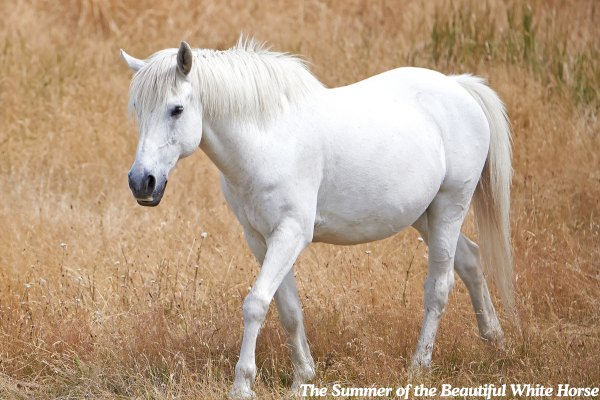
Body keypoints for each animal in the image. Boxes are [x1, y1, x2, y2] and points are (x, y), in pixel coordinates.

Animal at [122, 36, 516, 396]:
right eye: (137, 108)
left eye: (176, 109)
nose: (142, 182)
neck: (267, 140)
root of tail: (459, 87)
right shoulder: (260, 238)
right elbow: (288, 309)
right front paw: (303, 377)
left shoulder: (291, 234)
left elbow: (256, 304)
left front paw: (242, 385)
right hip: (426, 214)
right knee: (470, 260)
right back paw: (495, 340)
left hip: (451, 206)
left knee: (439, 286)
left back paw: (420, 365)